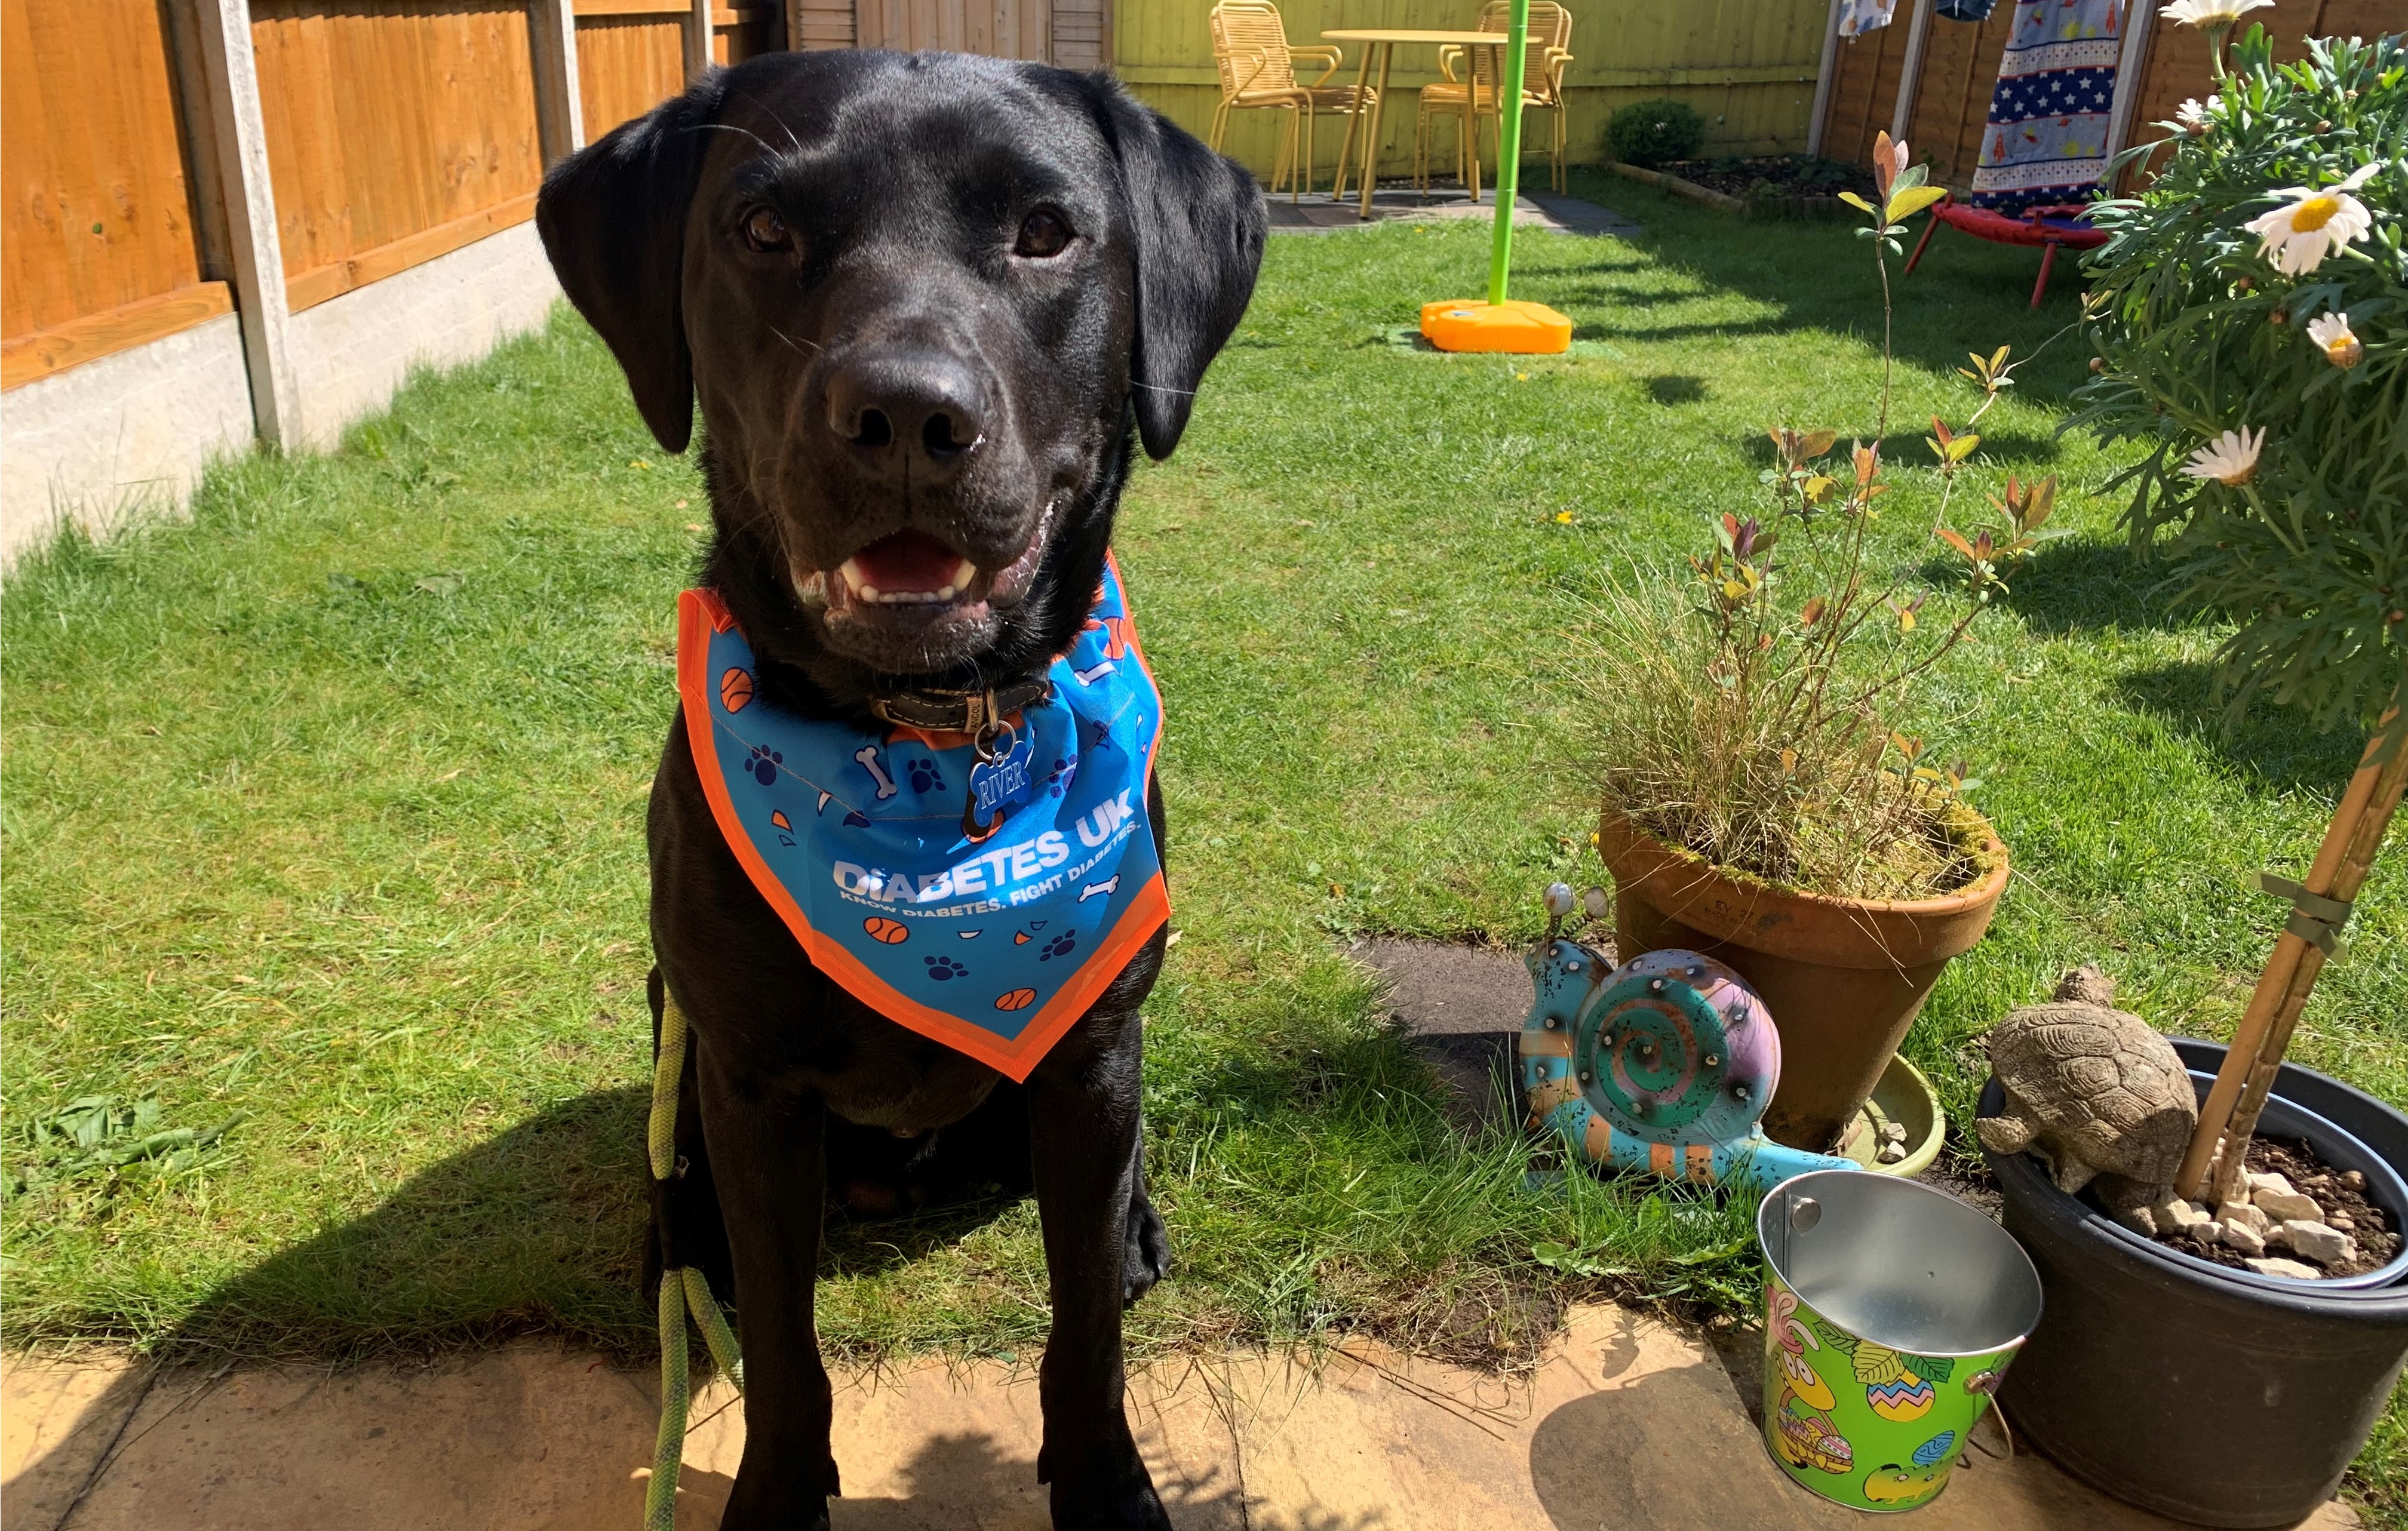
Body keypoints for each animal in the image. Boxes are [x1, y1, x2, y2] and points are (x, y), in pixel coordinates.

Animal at [539, 45, 1271, 1521]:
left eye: (1045, 230)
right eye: (764, 228)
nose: (905, 416)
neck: (929, 748)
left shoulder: (1091, 1054)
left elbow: (1083, 1325)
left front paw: (1105, 1482)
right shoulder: (752, 1084)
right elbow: (780, 1340)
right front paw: (774, 1496)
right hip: (672, 1018)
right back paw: (671, 1248)